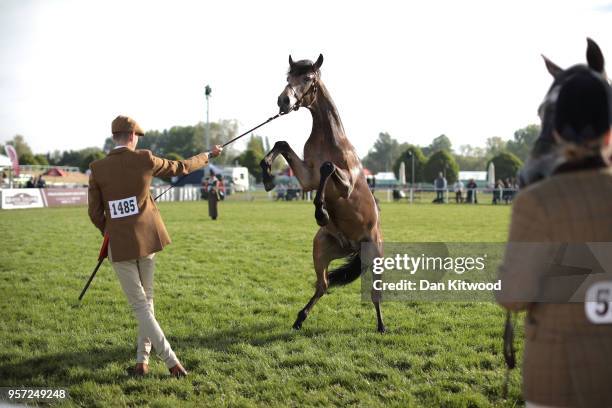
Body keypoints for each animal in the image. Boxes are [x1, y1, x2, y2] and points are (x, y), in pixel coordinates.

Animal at [260, 54, 384, 334]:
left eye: (308, 78)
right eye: (288, 77)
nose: (284, 101)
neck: (328, 140)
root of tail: (353, 247)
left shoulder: (345, 184)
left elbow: (328, 169)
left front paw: (321, 212)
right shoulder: (308, 178)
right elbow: (281, 144)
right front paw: (267, 177)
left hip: (375, 257)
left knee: (375, 293)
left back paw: (382, 326)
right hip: (321, 249)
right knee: (323, 285)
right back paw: (299, 318)